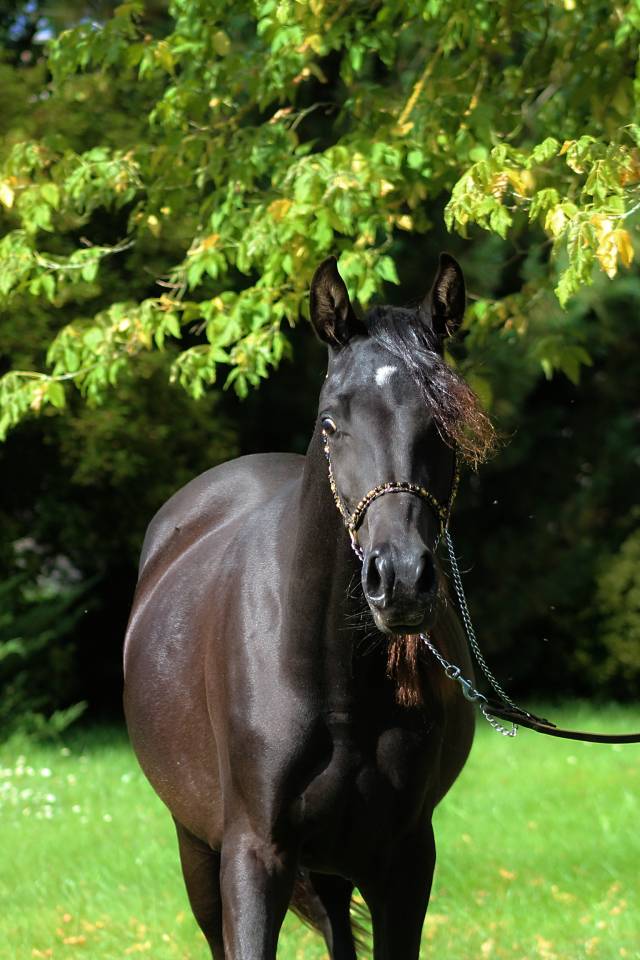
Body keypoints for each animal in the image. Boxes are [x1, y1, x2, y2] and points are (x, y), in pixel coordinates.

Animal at [123, 252, 496, 959]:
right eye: (331, 422)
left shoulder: (403, 861)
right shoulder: (253, 855)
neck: (330, 675)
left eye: (446, 422)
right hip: (199, 851)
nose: (399, 579)